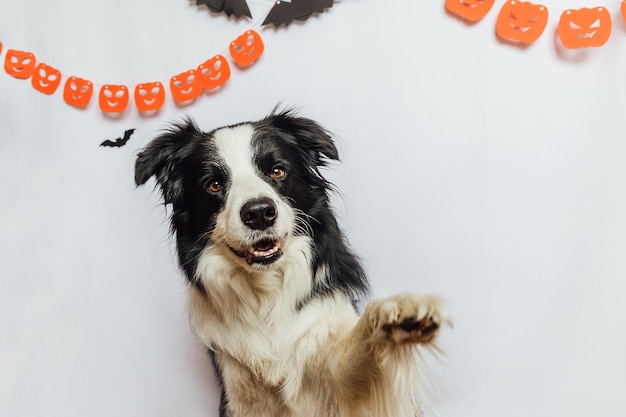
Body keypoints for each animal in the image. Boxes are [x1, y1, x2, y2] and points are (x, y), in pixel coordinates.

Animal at [134, 109, 446, 414]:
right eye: (214, 185)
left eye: (277, 171)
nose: (259, 213)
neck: (267, 293)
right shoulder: (239, 393)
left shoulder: (336, 374)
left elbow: (359, 351)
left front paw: (401, 312)